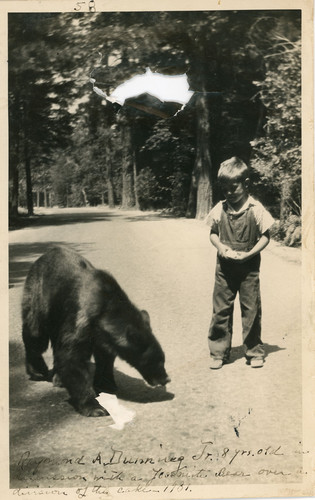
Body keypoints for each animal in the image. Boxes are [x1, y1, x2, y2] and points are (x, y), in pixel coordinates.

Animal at [21, 247, 170, 418]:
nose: (166, 379)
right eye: (155, 361)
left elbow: (104, 358)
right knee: (36, 335)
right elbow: (72, 357)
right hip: (38, 297)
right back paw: (38, 371)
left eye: (163, 359)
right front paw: (95, 407)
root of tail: (43, 256)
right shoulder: (80, 318)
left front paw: (107, 384)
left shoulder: (103, 338)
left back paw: (58, 378)